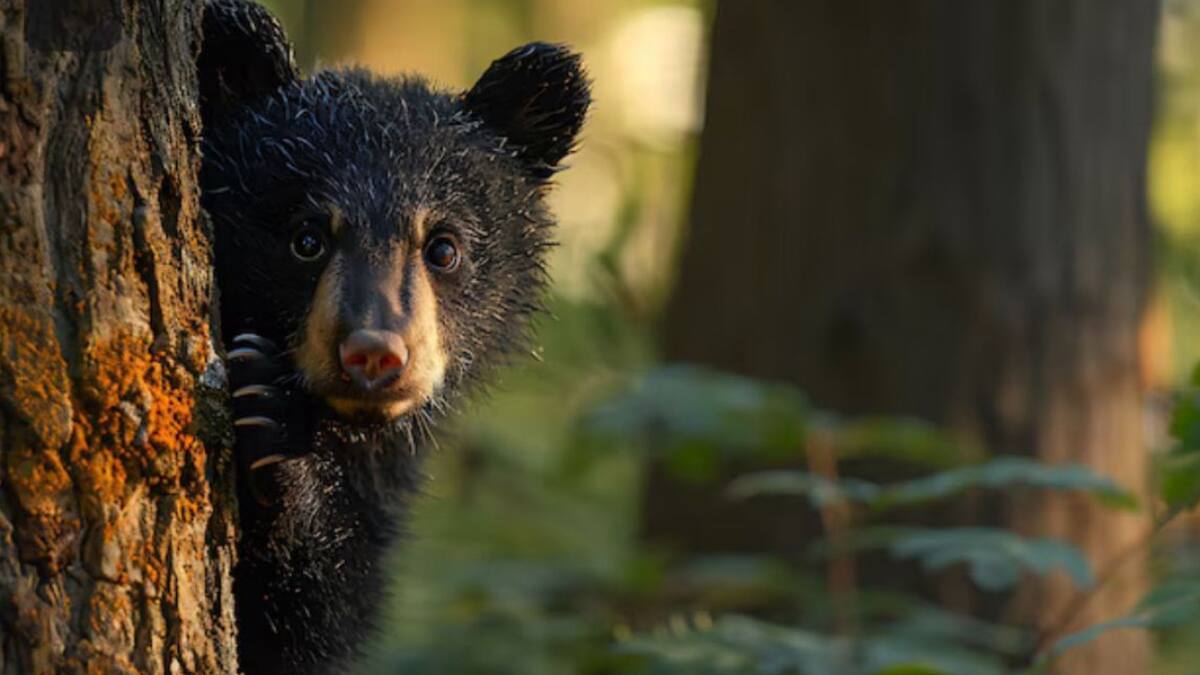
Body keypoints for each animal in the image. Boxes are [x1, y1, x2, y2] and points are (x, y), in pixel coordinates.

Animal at [197, 1, 590, 672]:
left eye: (444, 248)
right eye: (307, 238)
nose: (373, 352)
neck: (347, 430)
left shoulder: (384, 485)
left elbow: (326, 616)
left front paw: (271, 422)